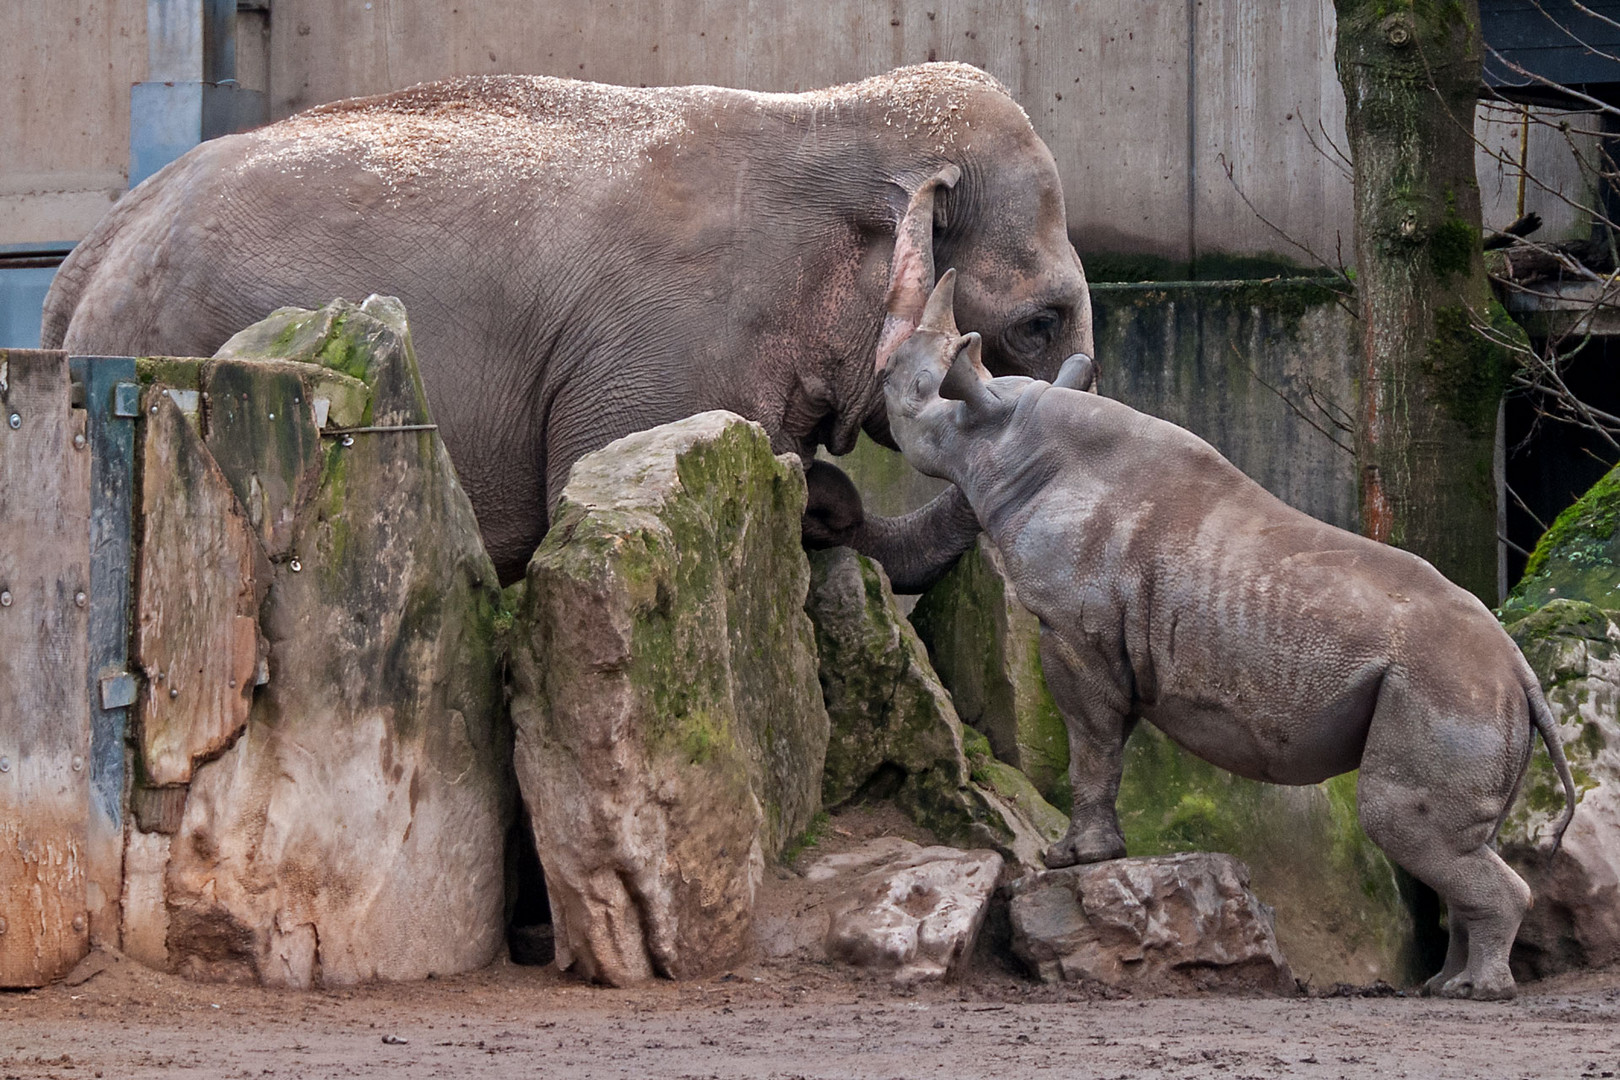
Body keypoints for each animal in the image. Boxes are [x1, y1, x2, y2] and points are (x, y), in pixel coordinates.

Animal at [44, 63, 1095, 592]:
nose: (829, 492)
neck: (823, 114)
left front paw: (814, 496)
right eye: (1039, 324)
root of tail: (90, 252)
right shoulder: (669, 356)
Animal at [881, 263, 1574, 1003]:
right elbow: (1109, 740)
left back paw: (1479, 992)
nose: (881, 372)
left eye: (918, 390)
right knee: (1457, 841)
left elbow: (1090, 742)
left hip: (1446, 686)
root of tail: (1521, 671)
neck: (1011, 431)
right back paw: (1447, 986)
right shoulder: (1114, 635)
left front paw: (1071, 857)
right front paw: (1094, 851)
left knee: (1398, 819)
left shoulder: (1074, 626)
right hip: (1471, 692)